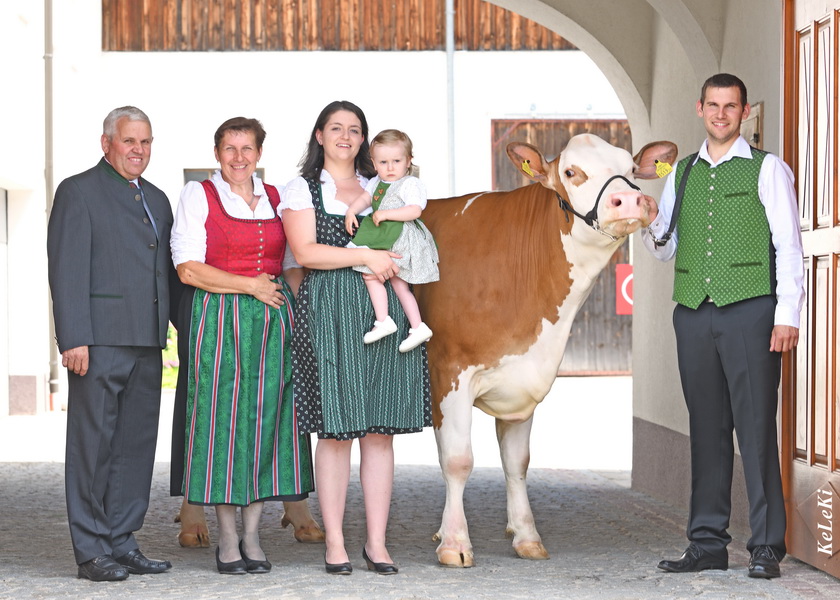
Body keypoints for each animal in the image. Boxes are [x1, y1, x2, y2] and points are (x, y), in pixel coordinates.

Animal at [416, 132, 680, 568]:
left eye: (629, 167)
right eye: (571, 172)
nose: (630, 200)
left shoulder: (523, 378)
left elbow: (517, 463)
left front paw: (526, 536)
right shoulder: (449, 370)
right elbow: (457, 459)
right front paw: (455, 543)